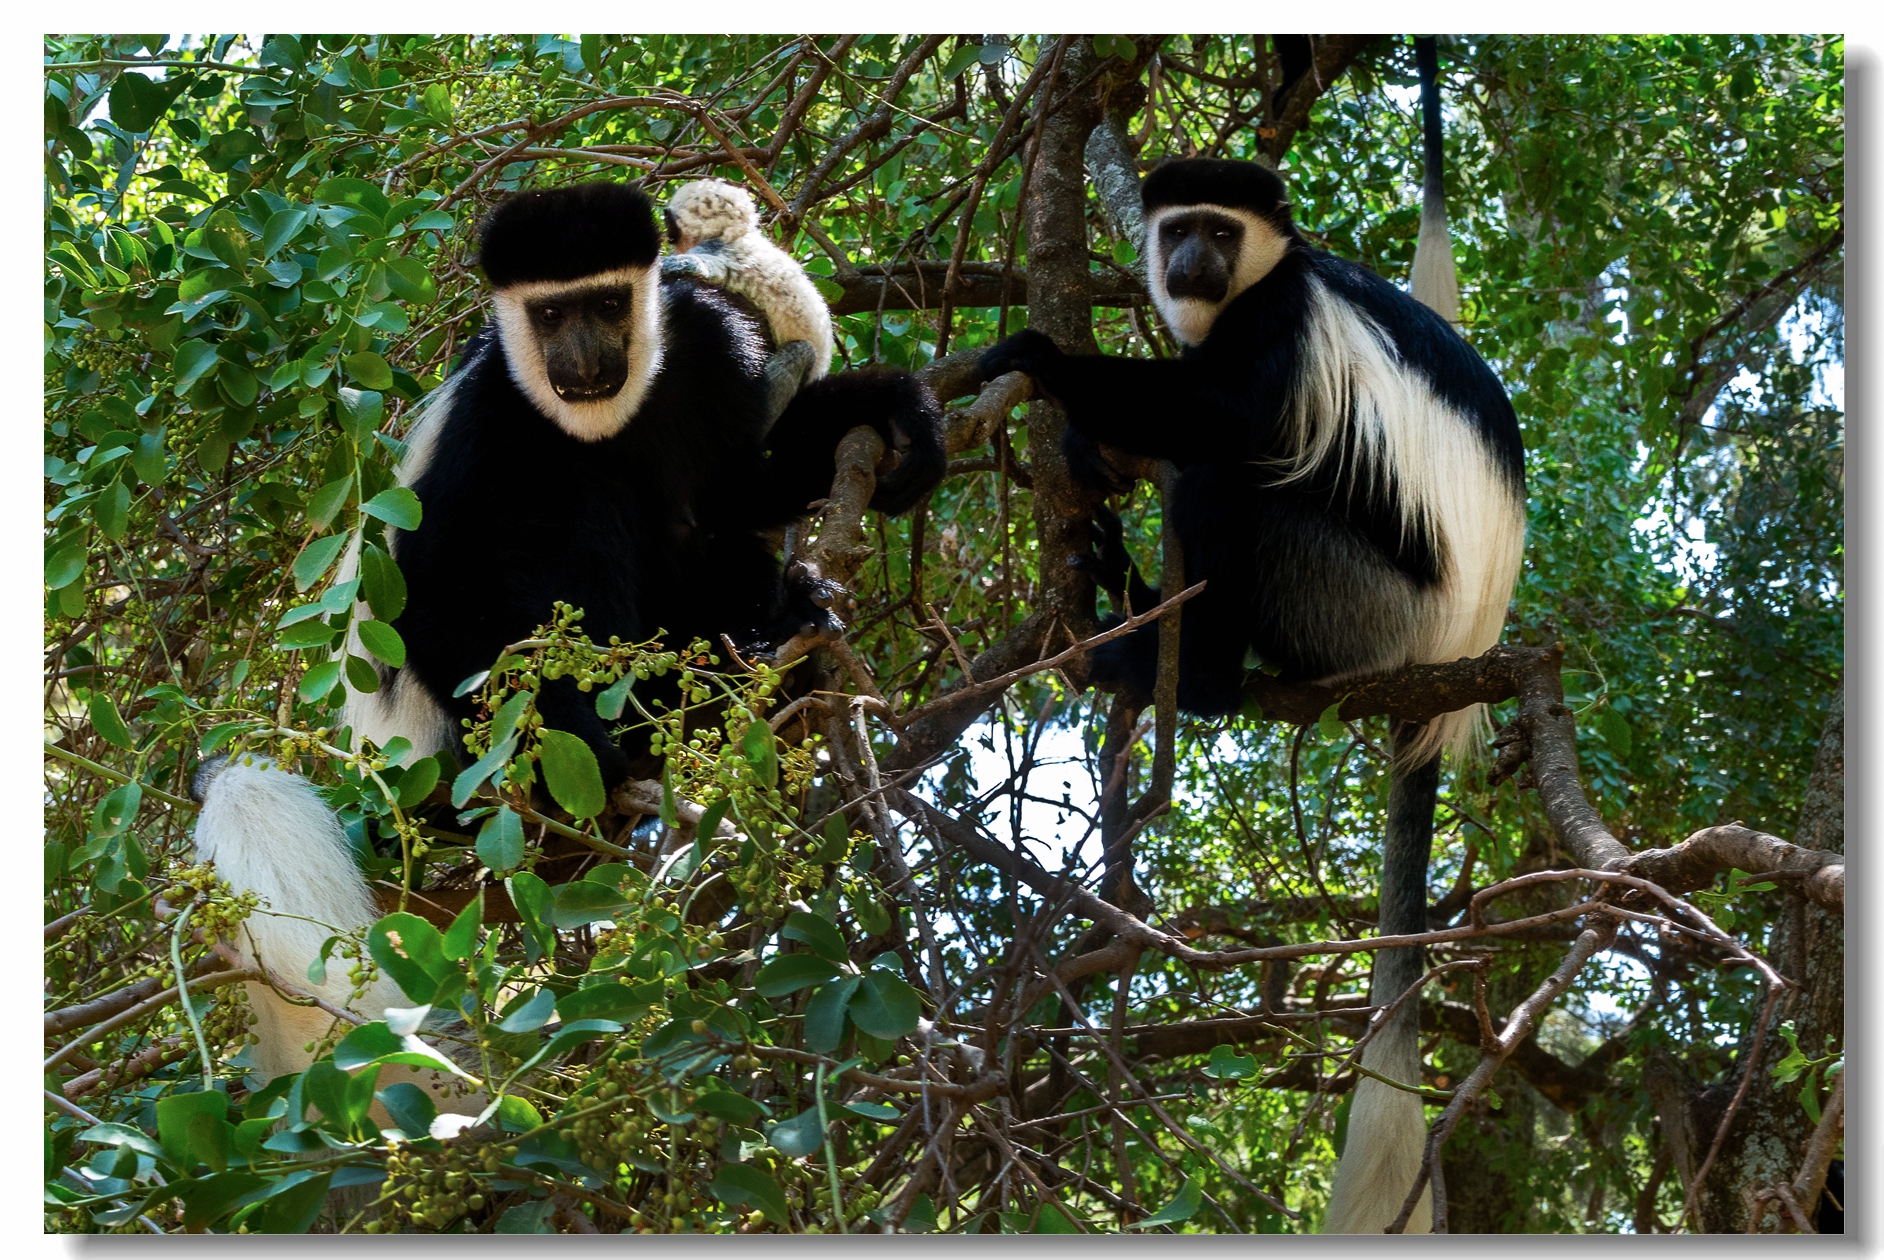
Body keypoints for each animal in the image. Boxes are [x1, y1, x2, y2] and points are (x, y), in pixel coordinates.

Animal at [979, 149, 1522, 1227]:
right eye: (1180, 226)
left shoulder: (1284, 329)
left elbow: (1220, 414)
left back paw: (1185, 669)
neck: (1270, 276)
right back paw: (1135, 597)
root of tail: (1440, 677)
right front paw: (1084, 450)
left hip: (1355, 605)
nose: (1189, 262)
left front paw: (1043, 357)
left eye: (1222, 232)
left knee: (1228, 478)